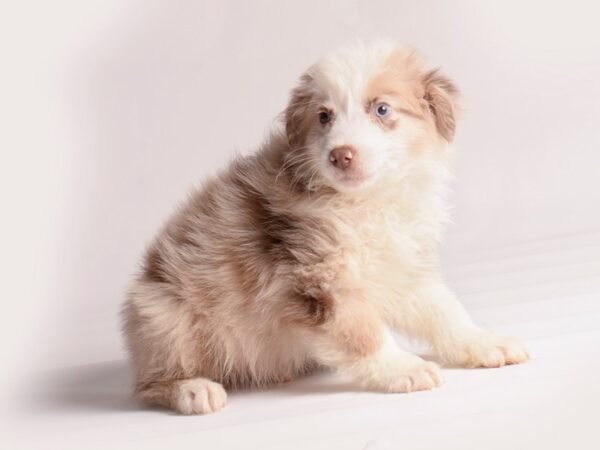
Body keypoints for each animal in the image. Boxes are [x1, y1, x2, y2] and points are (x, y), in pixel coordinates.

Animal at [122, 42, 528, 414]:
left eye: (381, 109)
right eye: (324, 116)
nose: (340, 155)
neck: (368, 201)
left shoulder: (403, 265)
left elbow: (444, 310)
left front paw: (483, 342)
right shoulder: (319, 278)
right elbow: (363, 333)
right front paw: (403, 368)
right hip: (165, 317)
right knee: (148, 385)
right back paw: (193, 390)